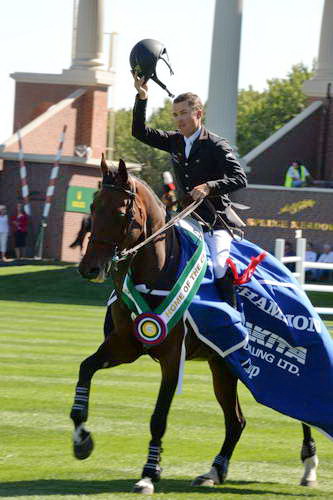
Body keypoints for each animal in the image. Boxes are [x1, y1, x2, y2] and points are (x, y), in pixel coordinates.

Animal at [70, 158, 320, 494]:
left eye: (121, 212)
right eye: (93, 207)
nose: (89, 269)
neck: (157, 270)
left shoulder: (172, 356)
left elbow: (159, 417)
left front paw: (149, 473)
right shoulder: (126, 346)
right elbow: (85, 371)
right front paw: (82, 440)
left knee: (300, 404)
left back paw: (309, 465)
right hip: (224, 366)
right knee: (237, 421)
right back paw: (215, 470)